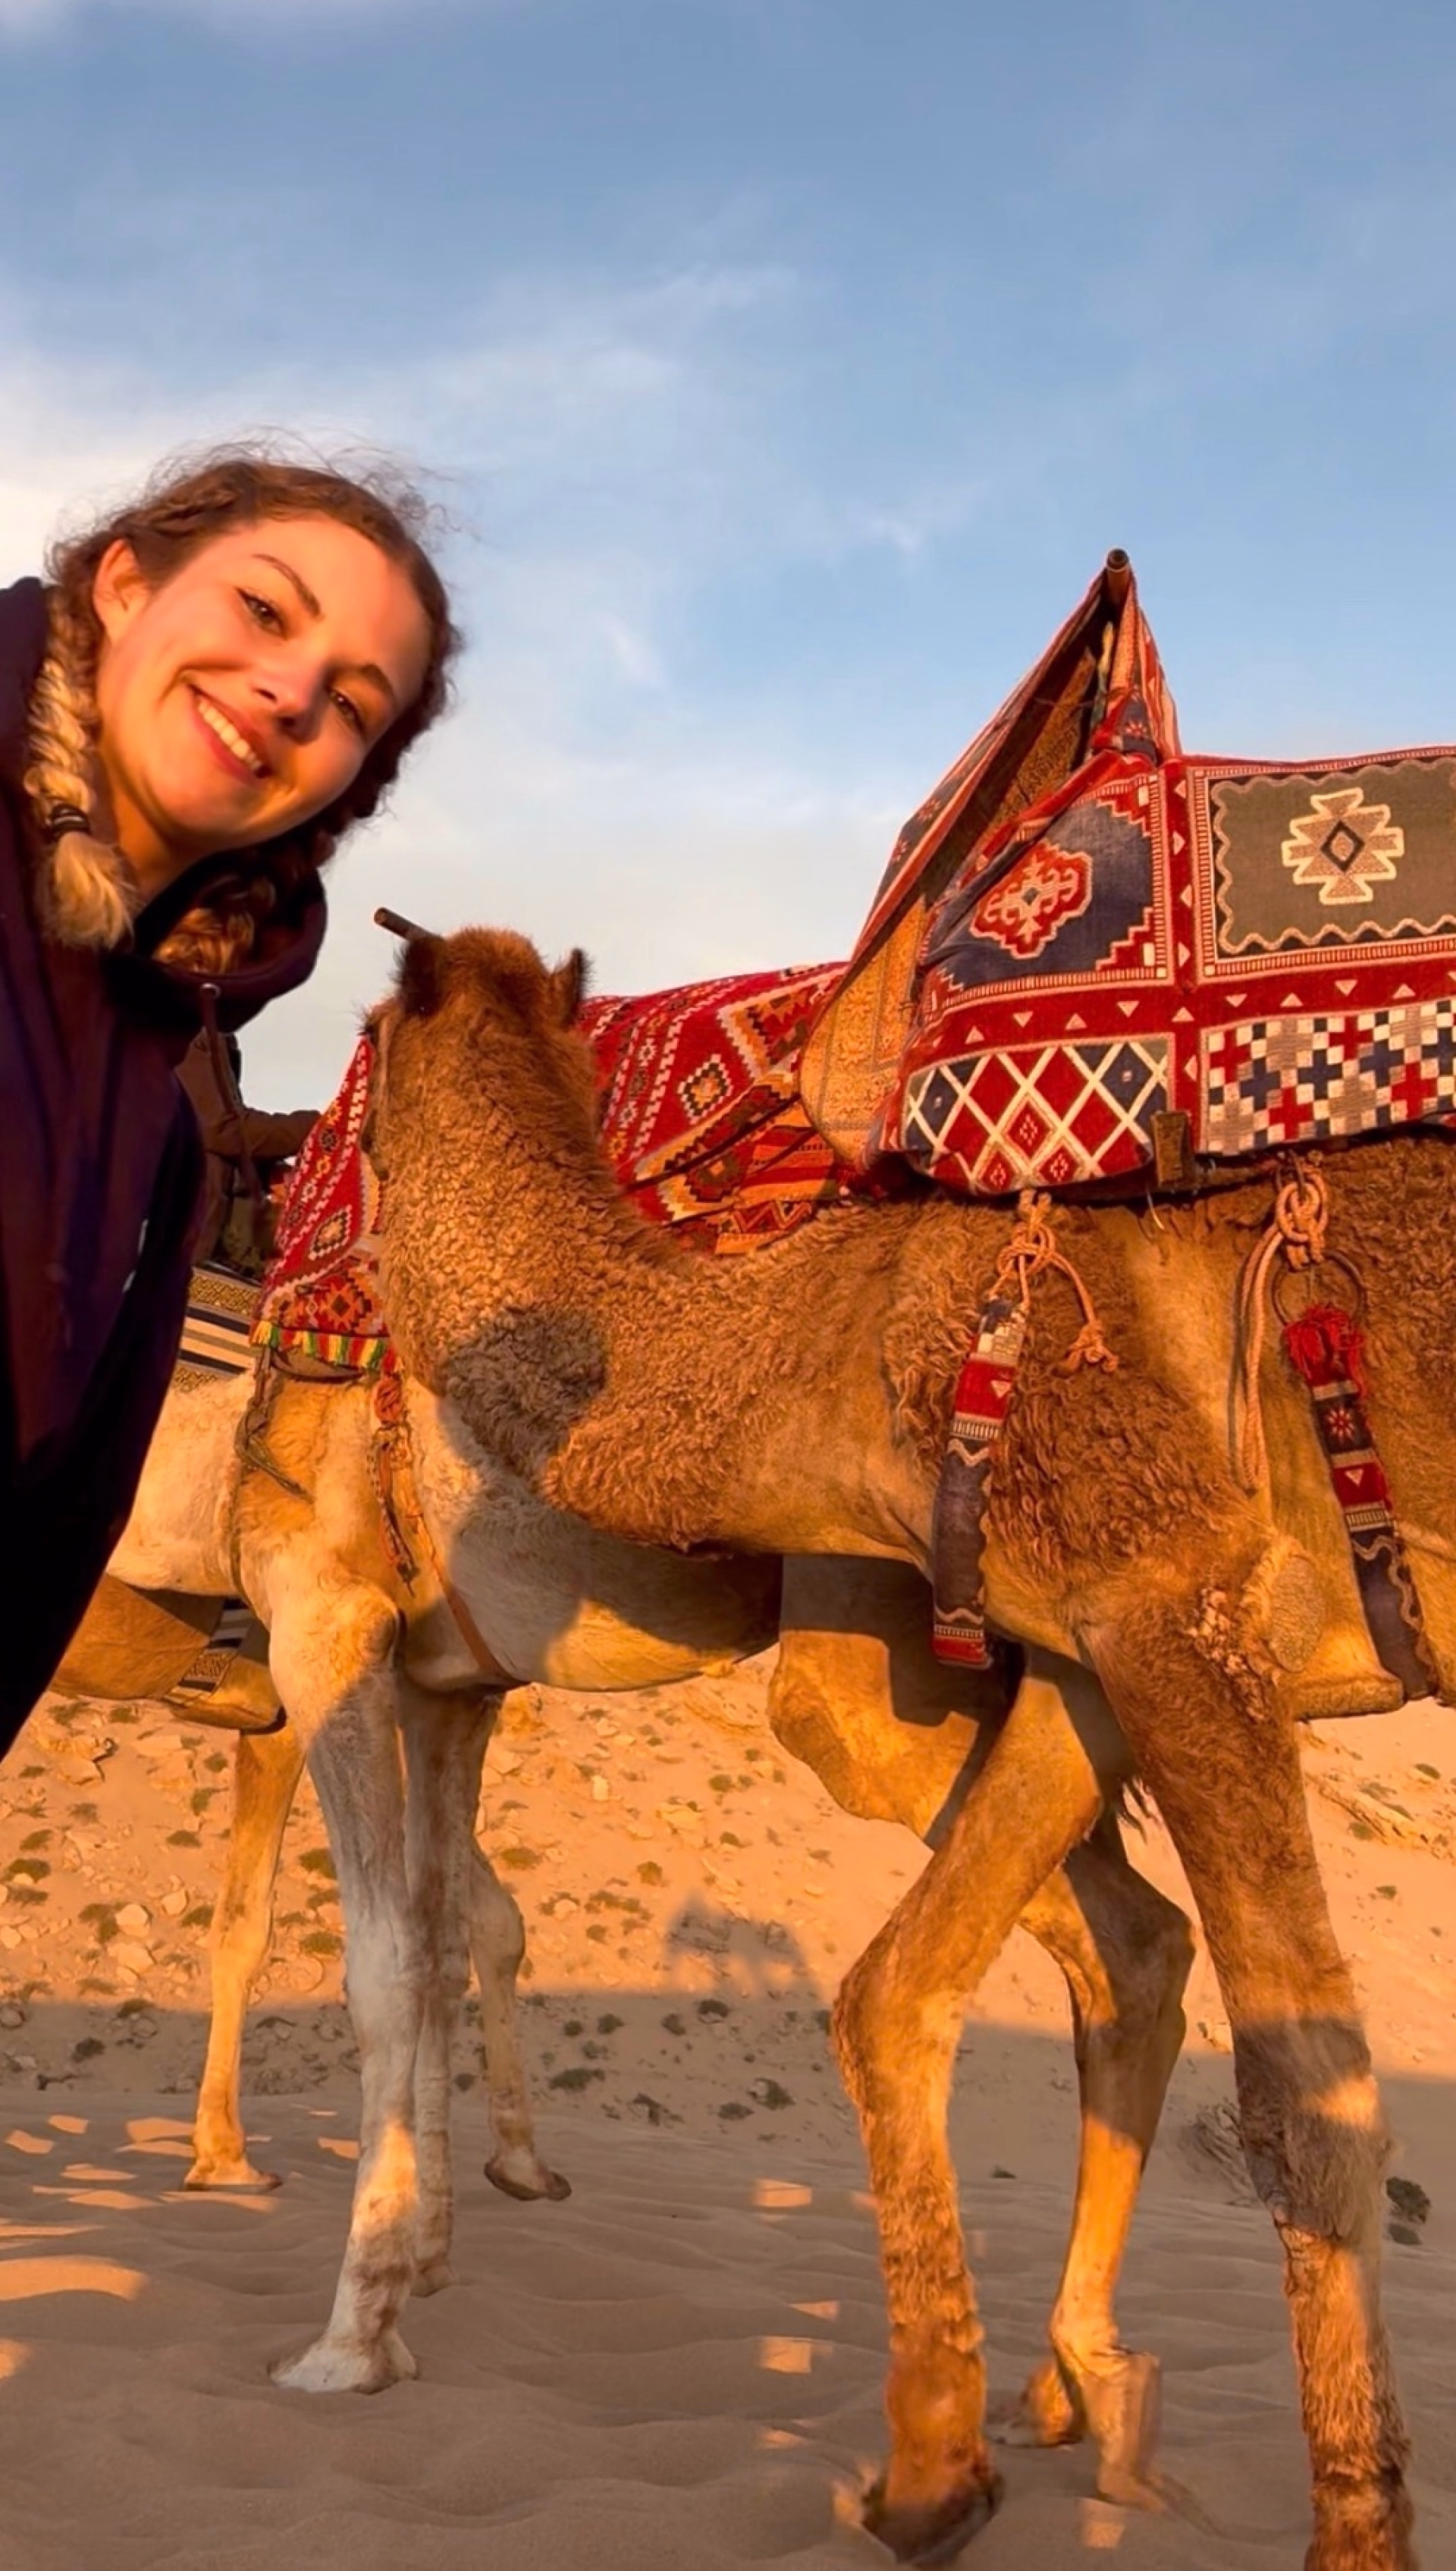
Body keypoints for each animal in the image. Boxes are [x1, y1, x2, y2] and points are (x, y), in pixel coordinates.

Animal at [366, 919, 1456, 2571]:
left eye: (366, 1053)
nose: (300, 1178)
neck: (835, 1340)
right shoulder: (1080, 1645)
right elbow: (896, 1993)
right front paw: (934, 2471)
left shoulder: (1181, 1597)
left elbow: (1311, 2103)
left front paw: (1359, 2529)